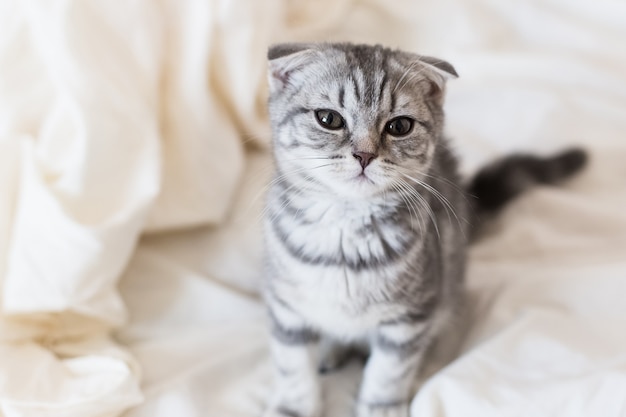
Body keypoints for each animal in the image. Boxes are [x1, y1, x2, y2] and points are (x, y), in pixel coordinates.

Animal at [260, 42, 584, 416]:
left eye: (399, 126)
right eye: (329, 119)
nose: (364, 155)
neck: (347, 230)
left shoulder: (411, 316)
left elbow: (389, 371)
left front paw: (382, 406)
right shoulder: (285, 306)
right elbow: (292, 365)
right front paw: (293, 406)